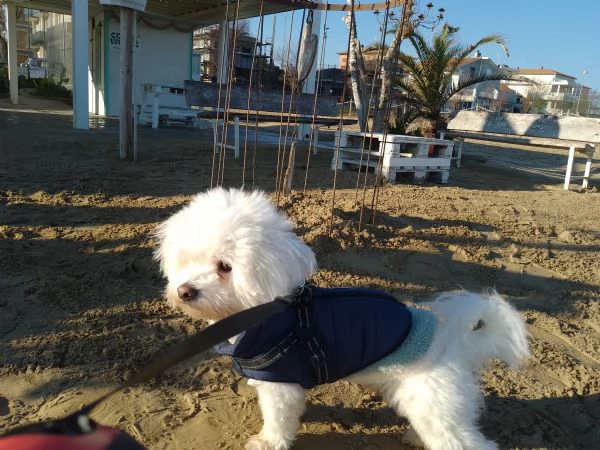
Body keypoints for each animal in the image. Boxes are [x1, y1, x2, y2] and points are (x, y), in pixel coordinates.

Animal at [155, 188, 528, 450]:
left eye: (225, 267)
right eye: (186, 260)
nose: (185, 291)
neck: (266, 313)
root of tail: (456, 341)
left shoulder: (282, 384)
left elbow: (278, 420)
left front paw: (267, 442)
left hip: (433, 402)